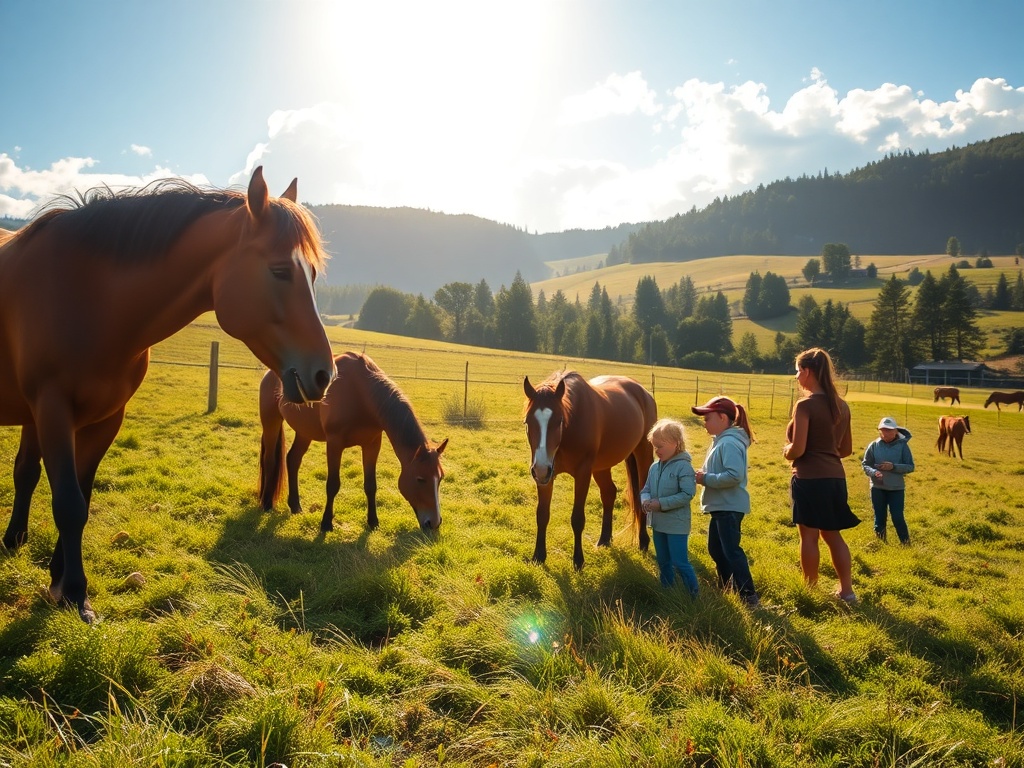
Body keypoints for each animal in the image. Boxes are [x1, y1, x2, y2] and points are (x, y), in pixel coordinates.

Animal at [0, 167, 336, 622]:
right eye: (281, 270)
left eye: (312, 274)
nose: (324, 374)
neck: (88, 297)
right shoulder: (53, 410)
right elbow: (68, 503)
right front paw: (74, 593)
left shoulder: (105, 419)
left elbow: (80, 497)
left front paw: (59, 578)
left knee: (25, 472)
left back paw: (13, 540)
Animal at [258, 352, 448, 533]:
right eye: (420, 479)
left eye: (440, 478)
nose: (434, 523)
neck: (361, 393)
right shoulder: (334, 443)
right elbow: (332, 484)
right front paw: (326, 523)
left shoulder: (372, 445)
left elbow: (371, 485)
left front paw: (373, 522)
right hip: (271, 421)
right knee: (270, 460)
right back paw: (267, 503)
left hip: (305, 431)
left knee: (293, 460)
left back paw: (295, 506)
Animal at [523, 372, 657, 570]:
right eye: (527, 422)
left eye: (559, 421)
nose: (540, 469)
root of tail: (644, 393)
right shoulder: (547, 476)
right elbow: (542, 514)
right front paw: (538, 557)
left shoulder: (583, 473)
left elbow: (577, 519)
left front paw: (578, 560)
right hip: (601, 467)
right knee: (609, 493)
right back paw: (604, 540)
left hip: (643, 454)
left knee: (641, 497)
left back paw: (643, 542)